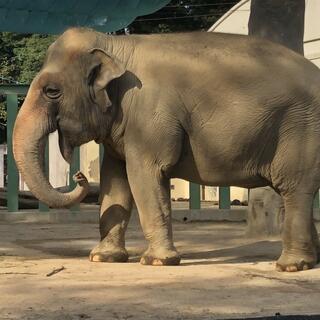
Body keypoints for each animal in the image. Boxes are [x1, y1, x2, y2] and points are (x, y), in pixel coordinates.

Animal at [13, 28, 320, 272]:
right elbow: (115, 180)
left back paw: (291, 265)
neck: (115, 47)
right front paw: (103, 258)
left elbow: (144, 175)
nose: (79, 176)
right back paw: (311, 262)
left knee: (295, 189)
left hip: (301, 128)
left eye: (52, 91)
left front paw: (156, 262)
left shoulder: (149, 117)